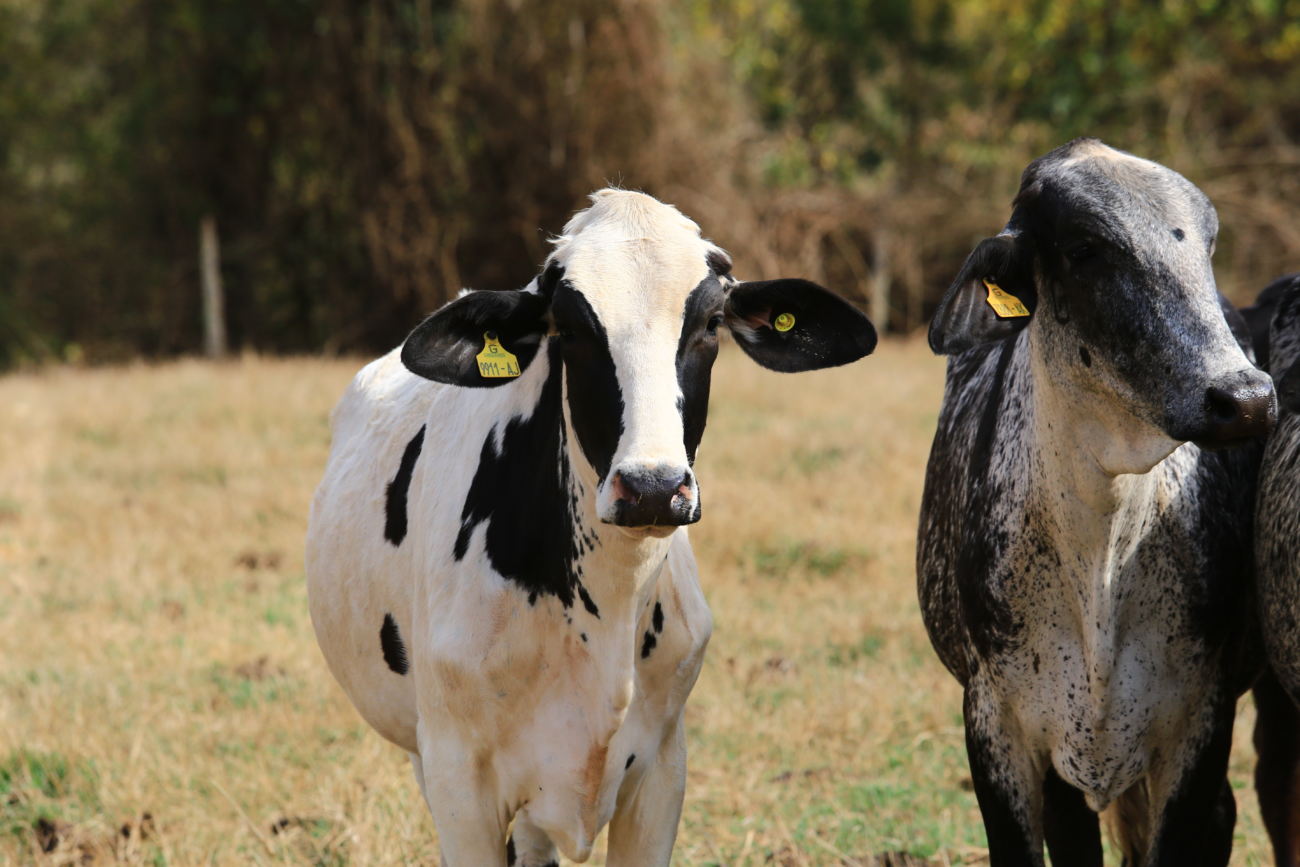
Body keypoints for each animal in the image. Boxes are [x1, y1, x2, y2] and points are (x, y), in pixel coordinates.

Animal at [305, 187, 878, 863]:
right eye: (571, 329)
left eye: (712, 323)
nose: (654, 487)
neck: (607, 608)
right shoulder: (457, 780)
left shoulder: (661, 773)